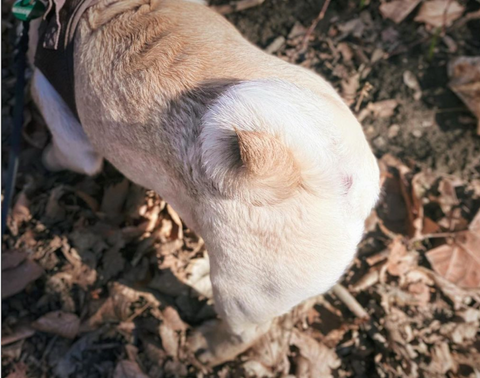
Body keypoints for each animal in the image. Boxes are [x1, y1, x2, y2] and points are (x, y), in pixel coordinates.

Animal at [29, 0, 382, 366]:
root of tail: (329, 173)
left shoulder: (67, 131)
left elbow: (60, 153)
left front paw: (40, 159)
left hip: (239, 293)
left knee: (246, 331)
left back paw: (209, 346)